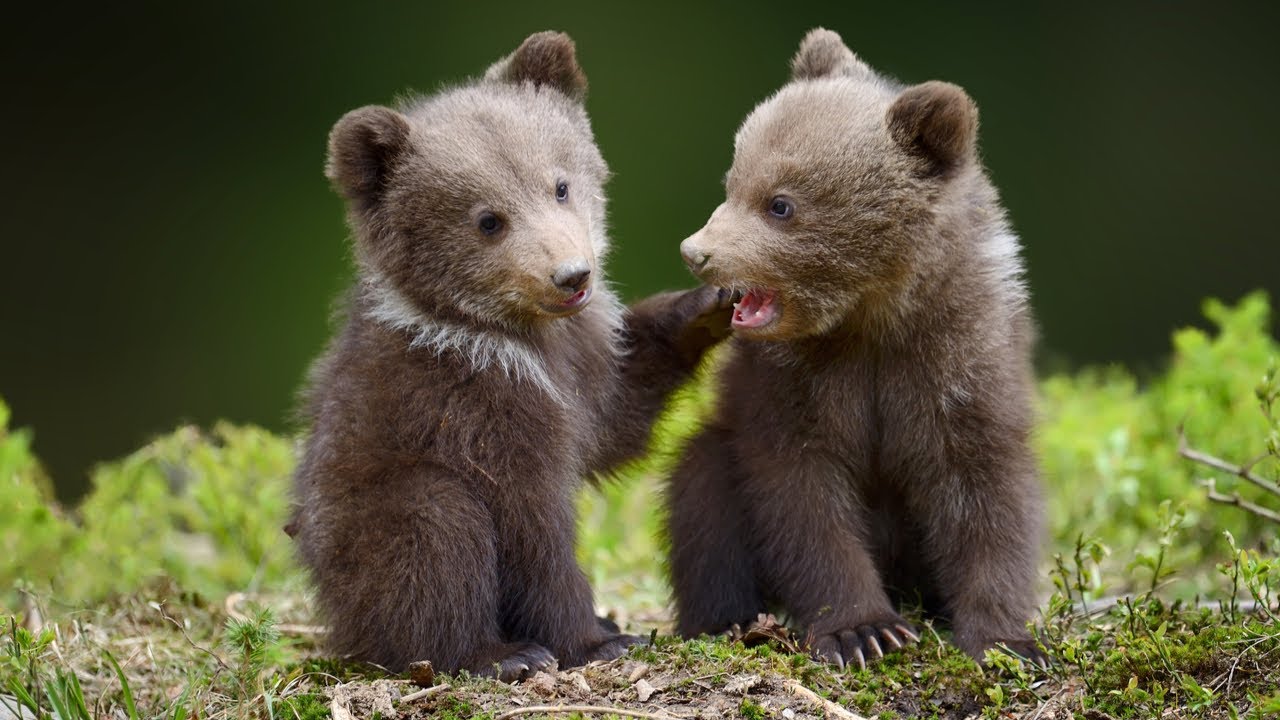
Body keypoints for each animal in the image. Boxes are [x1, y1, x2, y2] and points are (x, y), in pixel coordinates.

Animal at [288, 31, 734, 680]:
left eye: (560, 185)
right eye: (488, 220)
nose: (571, 275)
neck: (518, 337)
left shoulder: (582, 364)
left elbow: (615, 419)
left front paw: (706, 304)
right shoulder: (477, 404)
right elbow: (531, 525)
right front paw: (594, 639)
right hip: (370, 518)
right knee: (435, 532)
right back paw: (500, 653)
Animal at [666, 28, 1046, 669]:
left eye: (781, 203)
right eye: (733, 181)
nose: (697, 252)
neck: (871, 318)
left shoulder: (959, 359)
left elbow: (985, 491)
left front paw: (1007, 639)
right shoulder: (795, 381)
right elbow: (802, 496)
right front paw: (863, 630)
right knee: (701, 492)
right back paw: (727, 621)